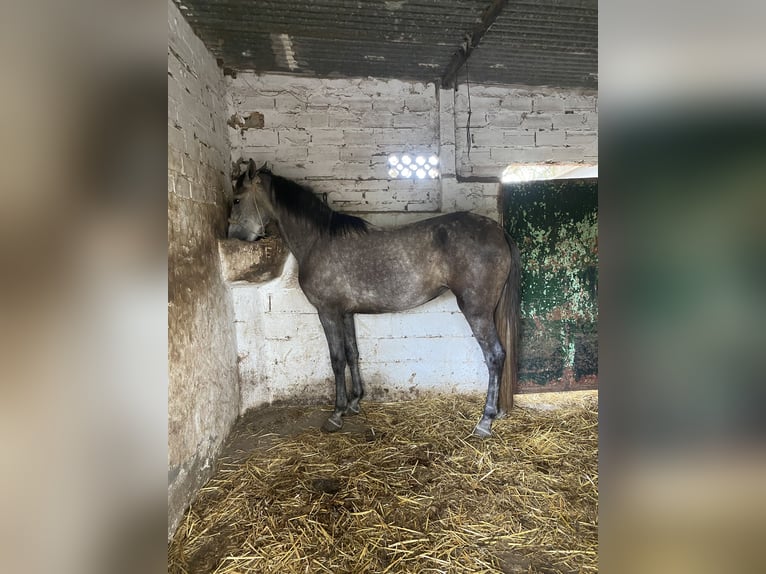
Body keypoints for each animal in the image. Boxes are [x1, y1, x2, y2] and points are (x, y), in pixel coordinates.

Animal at [228, 160, 520, 438]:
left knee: (494, 356)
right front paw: (354, 402)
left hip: (476, 311)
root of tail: (497, 229)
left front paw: (336, 414)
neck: (317, 241)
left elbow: (336, 360)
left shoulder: (327, 312)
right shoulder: (346, 313)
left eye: (237, 199)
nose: (234, 237)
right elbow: (352, 353)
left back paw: (485, 421)